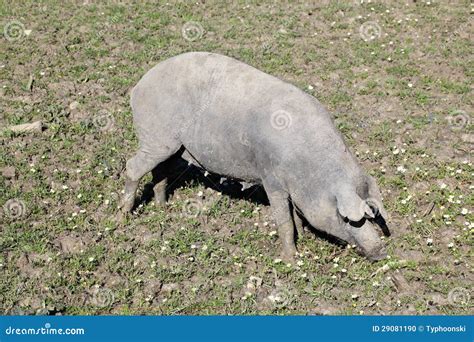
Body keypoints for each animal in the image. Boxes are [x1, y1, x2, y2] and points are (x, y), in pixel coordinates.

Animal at [120, 51, 390, 262]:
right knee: (132, 167)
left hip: (172, 147)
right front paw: (291, 259)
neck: (308, 171)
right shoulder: (271, 179)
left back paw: (163, 206)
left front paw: (303, 237)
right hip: (156, 137)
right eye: (346, 218)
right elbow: (283, 219)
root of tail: (139, 85)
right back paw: (124, 215)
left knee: (160, 171)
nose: (380, 250)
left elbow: (295, 215)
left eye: (371, 213)